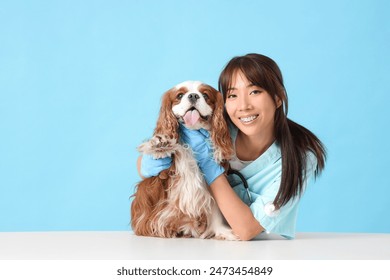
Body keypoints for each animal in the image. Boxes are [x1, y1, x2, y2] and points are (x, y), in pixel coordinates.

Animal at [132, 80, 238, 240]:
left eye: (205, 95)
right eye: (180, 95)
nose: (193, 96)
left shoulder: (213, 182)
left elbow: (216, 209)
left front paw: (221, 231)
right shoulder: (164, 175)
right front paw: (160, 143)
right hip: (145, 187)